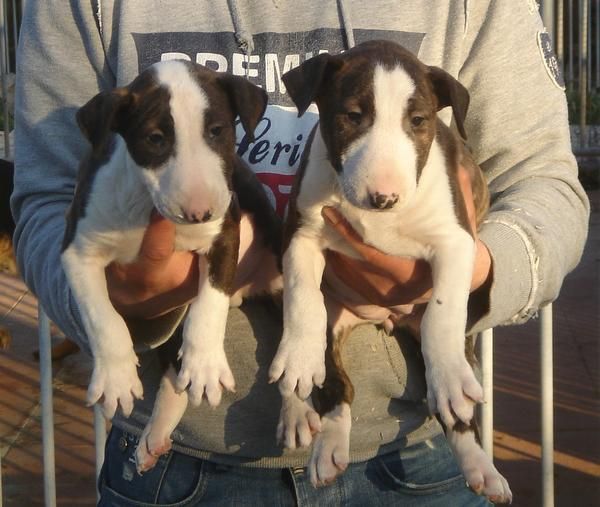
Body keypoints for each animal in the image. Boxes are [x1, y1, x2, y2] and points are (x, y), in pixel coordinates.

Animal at [62, 60, 282, 448]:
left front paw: (205, 365)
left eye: (217, 131)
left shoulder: (226, 232)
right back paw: (157, 434)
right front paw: (117, 378)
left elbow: (209, 303)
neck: (146, 204)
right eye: (154, 138)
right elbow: (103, 316)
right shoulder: (78, 251)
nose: (200, 212)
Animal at [270, 40, 512, 504]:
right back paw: (326, 446)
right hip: (336, 325)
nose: (383, 198)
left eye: (418, 121)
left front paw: (448, 377)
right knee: (339, 389)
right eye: (351, 115)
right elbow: (303, 296)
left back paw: (480, 467)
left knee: (454, 413)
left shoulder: (456, 241)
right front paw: (299, 358)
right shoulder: (301, 233)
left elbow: (441, 313)